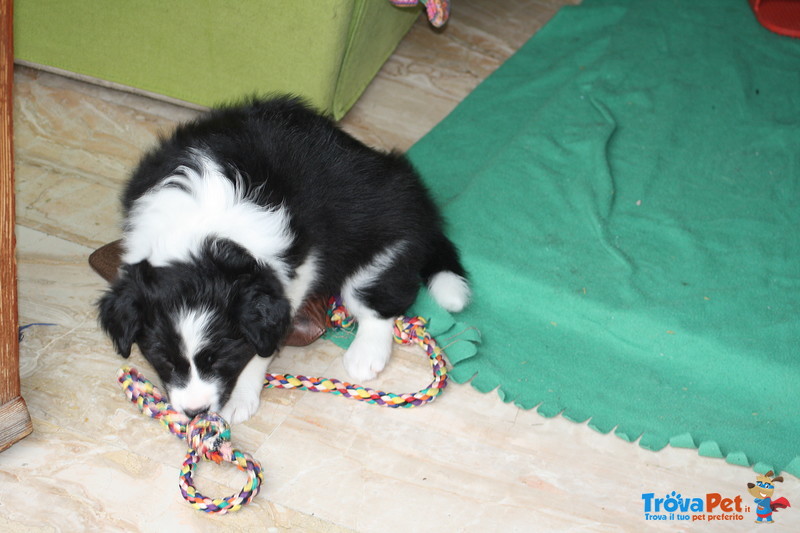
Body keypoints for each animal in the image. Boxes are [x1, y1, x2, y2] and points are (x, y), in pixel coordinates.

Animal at [97, 96, 468, 424]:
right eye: (163, 359)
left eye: (220, 358)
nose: (195, 413)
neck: (200, 232)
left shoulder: (300, 268)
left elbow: (263, 346)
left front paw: (241, 397)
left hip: (380, 228)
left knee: (377, 295)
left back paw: (366, 354)